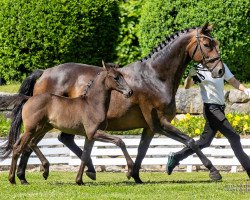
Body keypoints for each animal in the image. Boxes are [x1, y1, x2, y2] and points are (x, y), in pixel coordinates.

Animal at [2, 62, 134, 184]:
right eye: (115, 77)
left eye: (122, 75)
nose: (130, 92)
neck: (92, 104)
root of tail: (28, 98)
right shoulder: (94, 132)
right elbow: (120, 141)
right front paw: (129, 172)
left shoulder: (90, 136)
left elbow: (85, 155)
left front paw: (80, 180)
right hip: (31, 129)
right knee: (18, 147)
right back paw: (13, 179)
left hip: (42, 128)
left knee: (30, 143)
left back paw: (44, 170)